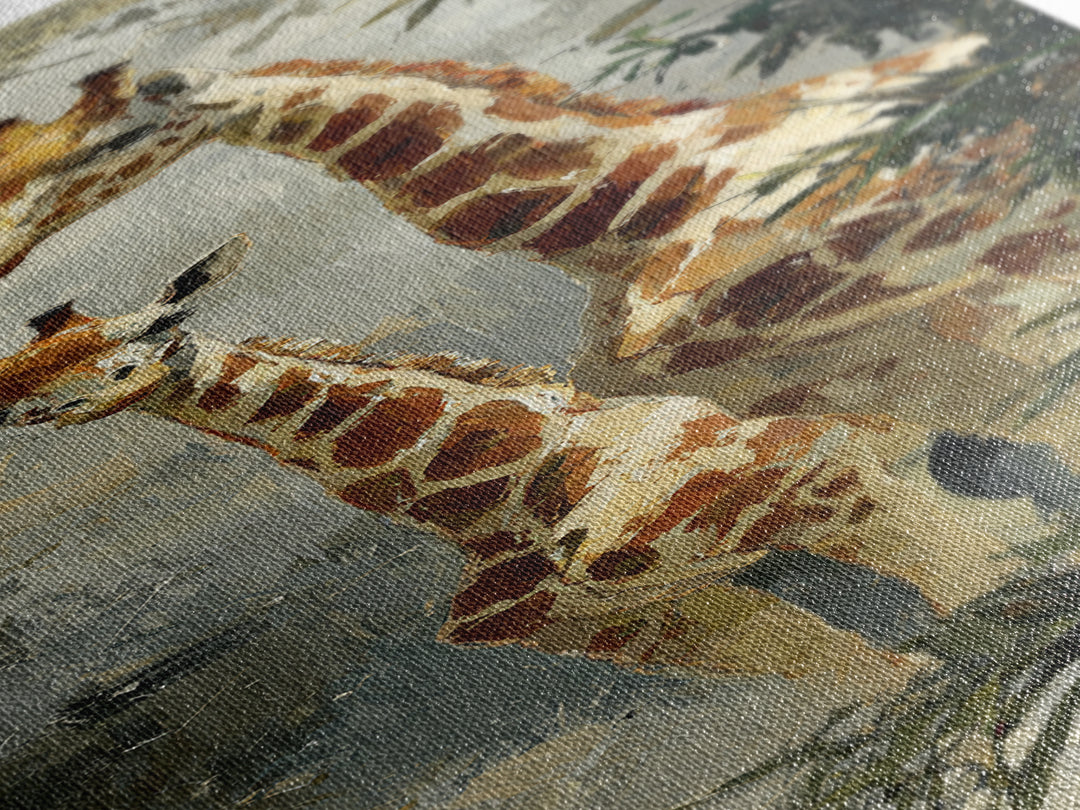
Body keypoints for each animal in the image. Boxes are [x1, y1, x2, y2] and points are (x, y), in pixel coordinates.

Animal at [0, 235, 1060, 693]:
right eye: (24, 361)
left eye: (142, 340)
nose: (30, 406)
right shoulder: (623, 623)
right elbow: (884, 672)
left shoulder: (824, 483)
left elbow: (971, 589)